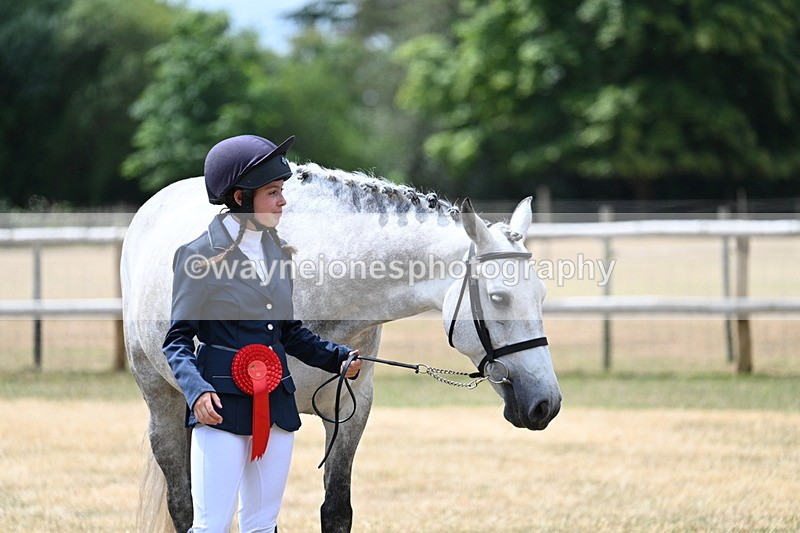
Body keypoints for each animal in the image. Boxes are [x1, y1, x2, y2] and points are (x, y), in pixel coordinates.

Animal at [120, 162, 562, 532]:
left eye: (541, 294)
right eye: (500, 297)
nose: (547, 404)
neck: (322, 280)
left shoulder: (350, 409)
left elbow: (336, 509)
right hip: (164, 404)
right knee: (184, 506)